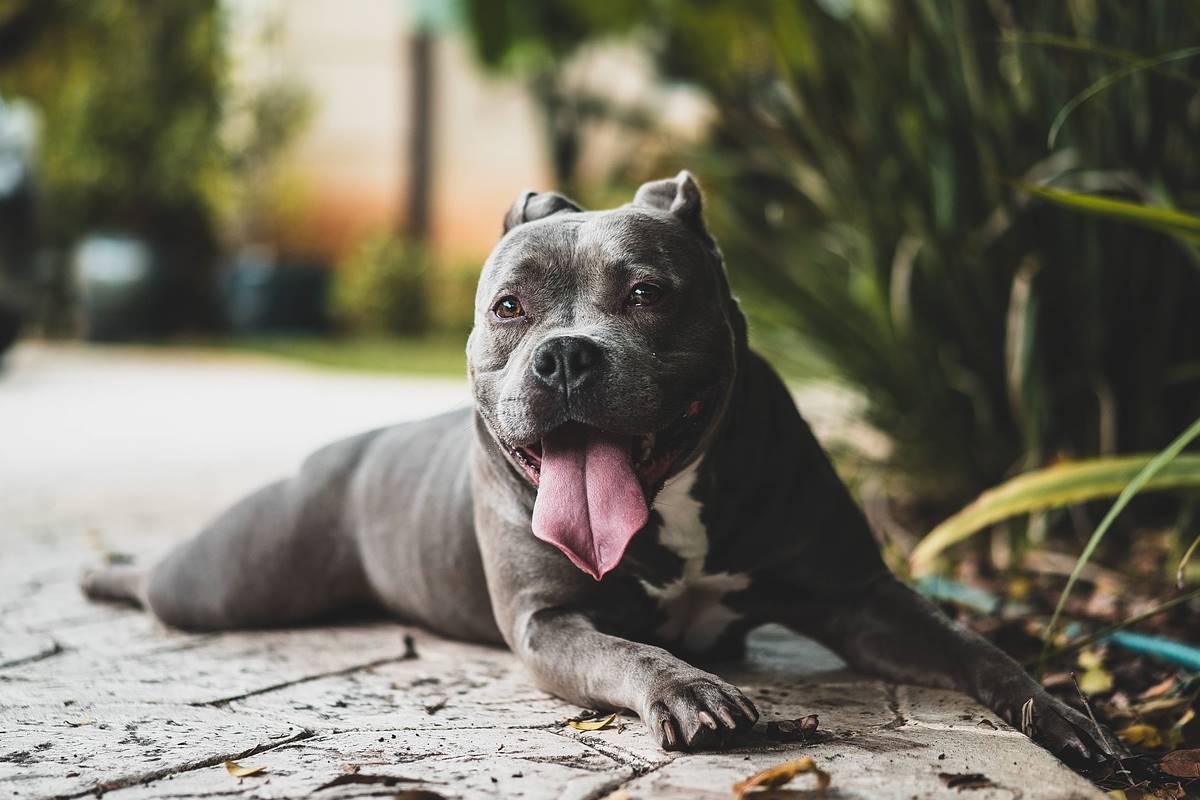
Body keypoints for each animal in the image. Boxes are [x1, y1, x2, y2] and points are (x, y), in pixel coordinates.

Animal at [87, 173, 1113, 762]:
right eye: (508, 307)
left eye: (647, 293)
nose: (566, 356)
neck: (671, 503)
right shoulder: (550, 621)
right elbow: (628, 648)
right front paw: (688, 689)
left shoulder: (860, 596)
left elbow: (971, 647)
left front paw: (1052, 711)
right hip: (230, 578)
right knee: (164, 582)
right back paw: (107, 573)